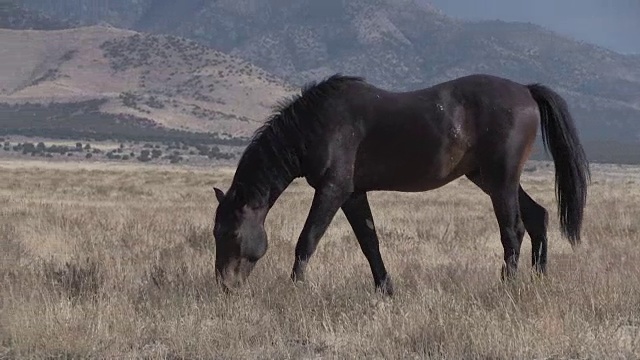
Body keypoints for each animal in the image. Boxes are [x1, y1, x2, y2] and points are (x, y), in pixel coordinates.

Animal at [211, 73, 592, 296]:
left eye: (231, 233)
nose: (225, 285)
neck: (317, 124)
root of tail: (526, 91)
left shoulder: (333, 190)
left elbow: (307, 240)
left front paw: (295, 290)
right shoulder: (353, 194)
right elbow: (370, 243)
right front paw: (385, 290)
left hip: (500, 180)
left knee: (513, 230)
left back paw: (508, 287)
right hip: (492, 179)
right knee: (537, 217)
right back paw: (538, 279)